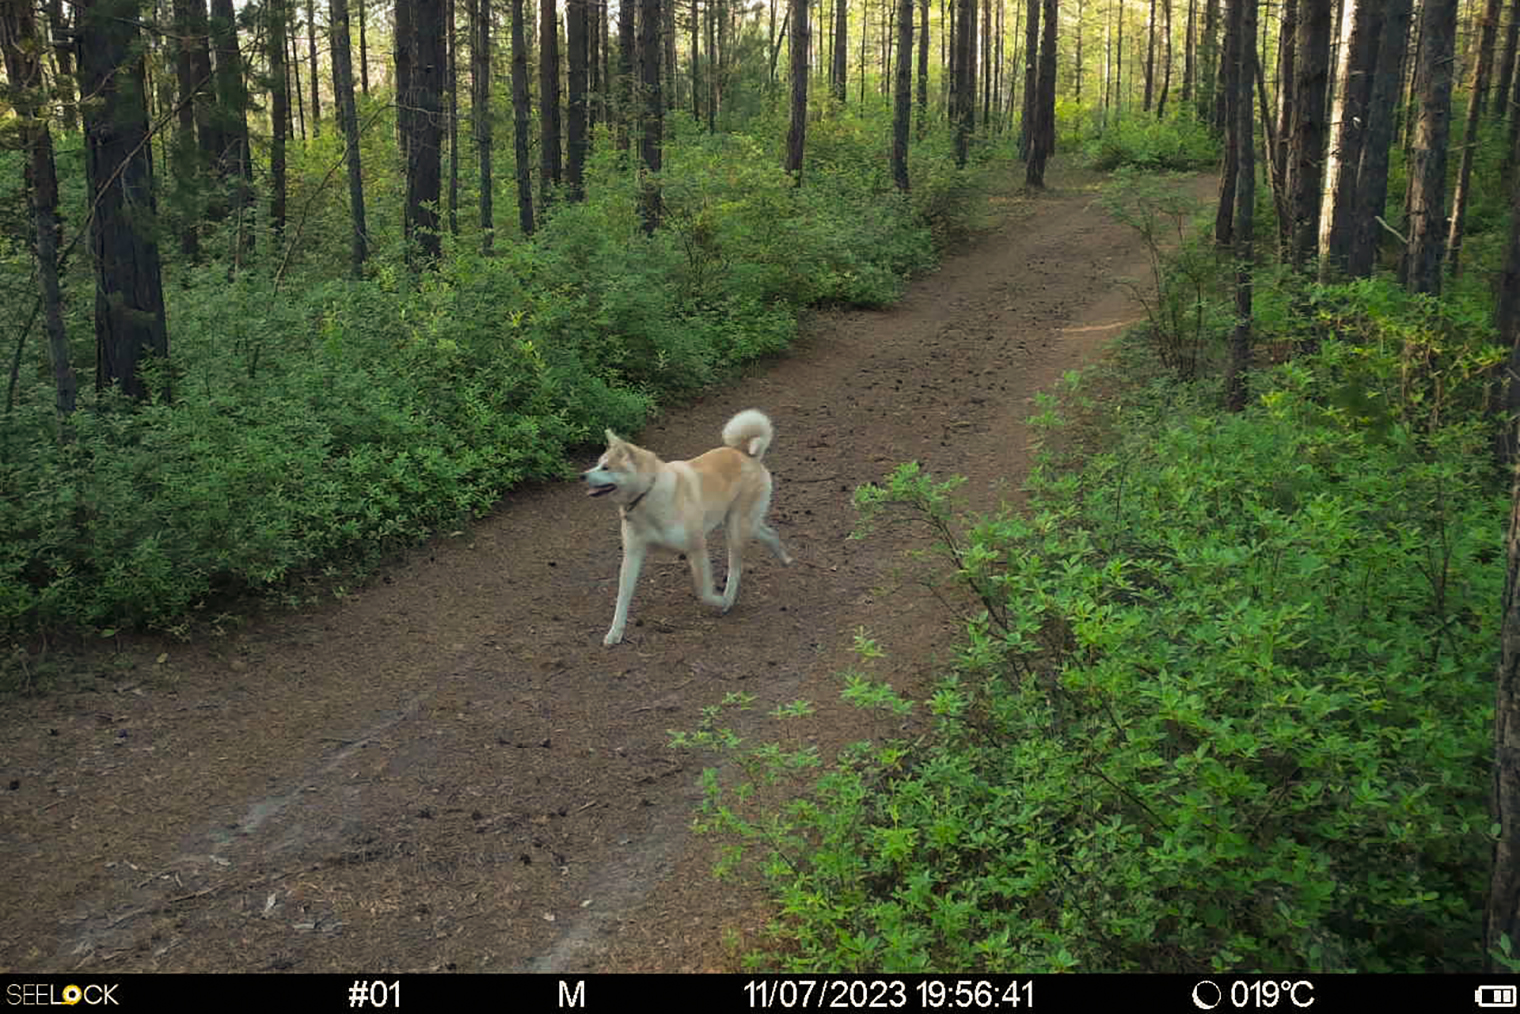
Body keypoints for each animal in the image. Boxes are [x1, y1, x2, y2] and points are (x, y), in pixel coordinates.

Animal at [580, 407, 796, 647]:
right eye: (598, 464)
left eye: (606, 467)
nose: (582, 475)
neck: (648, 494)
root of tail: (745, 454)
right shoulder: (633, 555)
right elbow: (622, 598)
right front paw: (615, 633)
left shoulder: (696, 547)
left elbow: (704, 592)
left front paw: (720, 601)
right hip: (743, 523)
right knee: (769, 533)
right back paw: (784, 558)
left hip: (735, 528)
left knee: (736, 567)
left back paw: (729, 598)